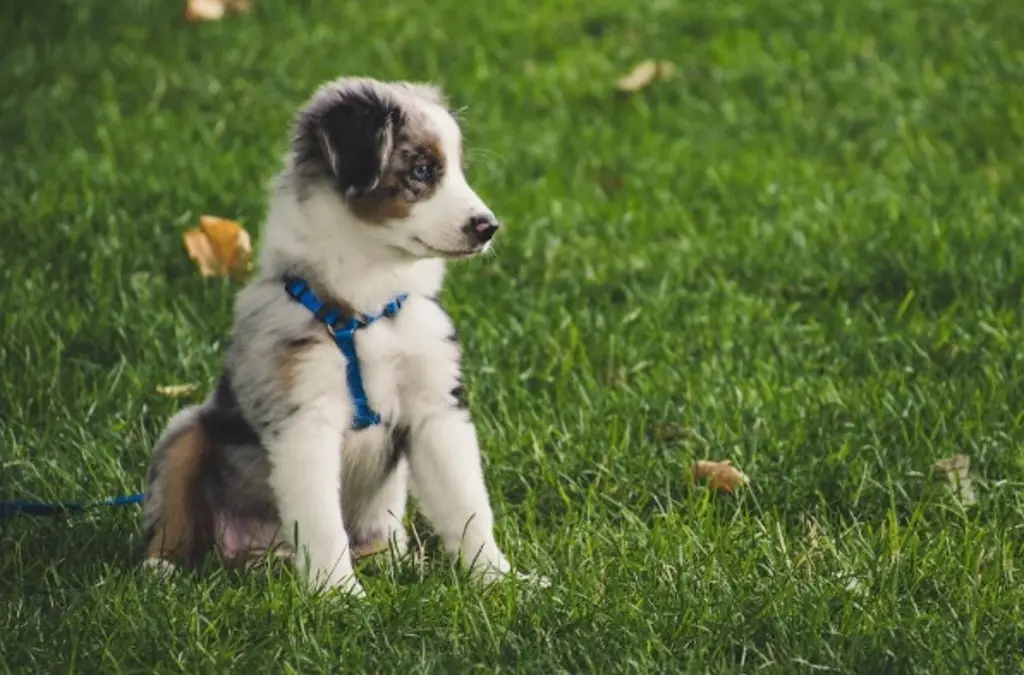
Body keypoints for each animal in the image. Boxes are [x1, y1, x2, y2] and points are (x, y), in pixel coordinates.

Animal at [142, 77, 536, 598]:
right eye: (423, 169)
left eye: (458, 171)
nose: (489, 227)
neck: (368, 306)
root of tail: (259, 554)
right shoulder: (304, 418)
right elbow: (321, 521)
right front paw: (338, 597)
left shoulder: (436, 409)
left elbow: (467, 505)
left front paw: (500, 580)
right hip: (187, 431)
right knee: (173, 511)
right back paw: (161, 568)